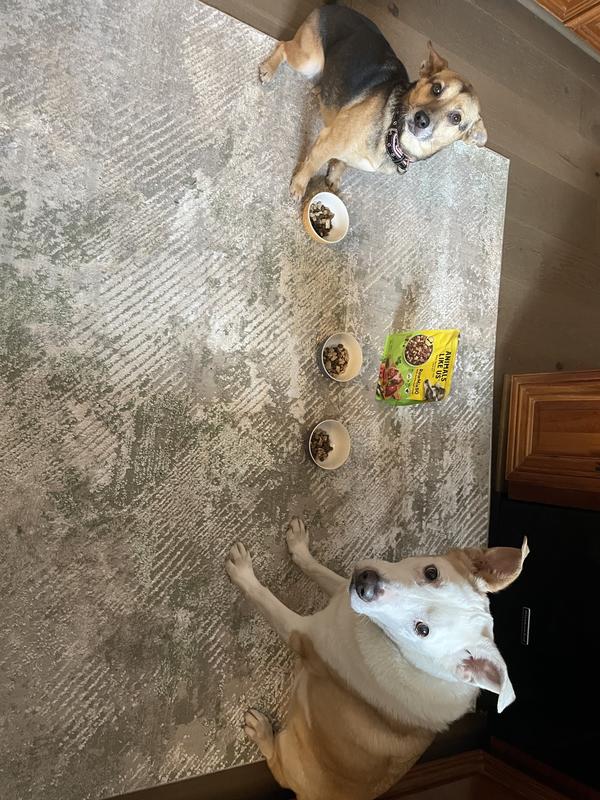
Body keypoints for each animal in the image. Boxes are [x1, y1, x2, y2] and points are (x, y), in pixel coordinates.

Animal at [226, 518, 528, 800]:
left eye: (423, 630)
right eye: (431, 572)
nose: (366, 584)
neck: (391, 644)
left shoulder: (301, 634)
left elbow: (266, 599)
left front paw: (244, 574)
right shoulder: (344, 597)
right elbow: (319, 570)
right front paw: (300, 547)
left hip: (290, 751)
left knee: (276, 763)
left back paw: (261, 730)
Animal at [259, 5, 487, 200]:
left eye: (456, 118)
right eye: (436, 88)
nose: (421, 119)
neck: (394, 135)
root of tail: (334, 6)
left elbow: (343, 163)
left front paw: (335, 174)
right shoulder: (326, 142)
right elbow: (311, 165)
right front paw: (299, 185)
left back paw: (320, 91)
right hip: (309, 60)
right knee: (283, 46)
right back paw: (269, 69)